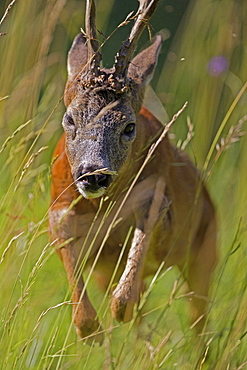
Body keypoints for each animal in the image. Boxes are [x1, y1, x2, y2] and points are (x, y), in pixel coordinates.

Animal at [49, 0, 217, 344]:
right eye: (69, 118)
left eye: (129, 126)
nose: (93, 175)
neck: (101, 207)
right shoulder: (57, 210)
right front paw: (91, 330)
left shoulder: (158, 201)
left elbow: (126, 296)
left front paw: (118, 310)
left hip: (207, 250)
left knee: (199, 322)